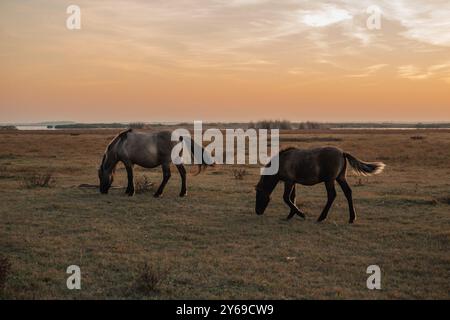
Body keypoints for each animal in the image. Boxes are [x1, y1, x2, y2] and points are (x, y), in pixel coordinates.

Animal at [255, 147, 384, 224]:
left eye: (259, 194)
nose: (257, 212)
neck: (282, 161)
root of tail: (342, 153)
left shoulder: (289, 181)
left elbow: (286, 198)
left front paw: (301, 214)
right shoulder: (293, 182)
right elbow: (292, 198)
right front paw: (291, 215)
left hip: (329, 180)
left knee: (332, 195)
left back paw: (321, 217)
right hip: (340, 178)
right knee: (348, 192)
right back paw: (351, 218)